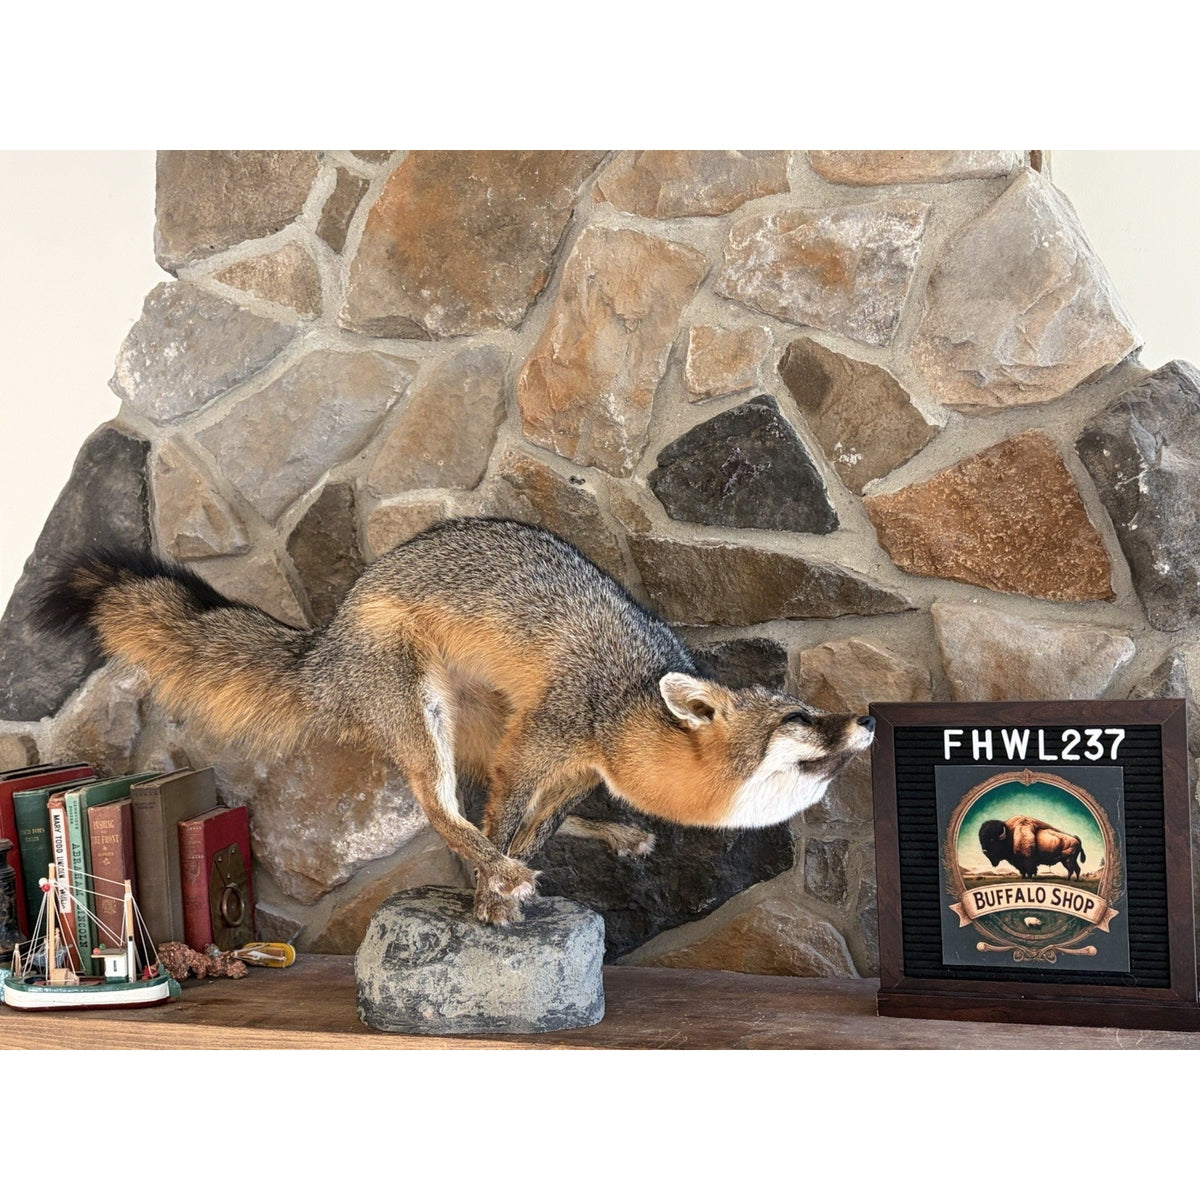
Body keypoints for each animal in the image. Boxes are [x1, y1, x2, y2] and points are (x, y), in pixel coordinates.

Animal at [36, 517, 875, 924]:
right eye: (802, 716)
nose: (866, 721)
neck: (619, 706)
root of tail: (327, 638)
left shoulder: (567, 771)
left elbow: (530, 824)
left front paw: (519, 875)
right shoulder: (541, 748)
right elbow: (499, 827)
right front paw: (492, 899)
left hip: (482, 729)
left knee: (468, 811)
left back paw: (608, 838)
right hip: (428, 721)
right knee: (443, 813)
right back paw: (501, 867)